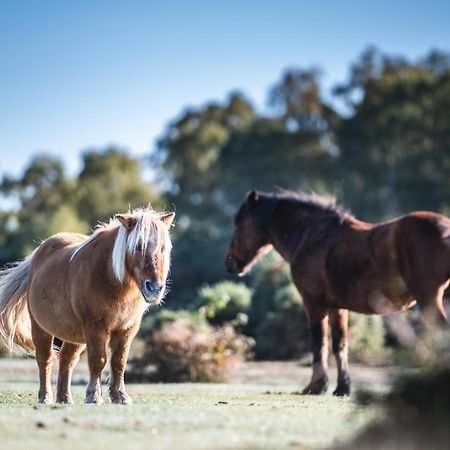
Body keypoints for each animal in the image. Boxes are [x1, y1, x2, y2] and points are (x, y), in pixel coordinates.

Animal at [0, 207, 174, 404]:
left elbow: (119, 361)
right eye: (138, 246)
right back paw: (45, 397)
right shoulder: (95, 326)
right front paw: (94, 396)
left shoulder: (127, 329)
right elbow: (98, 360)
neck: (111, 278)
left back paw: (65, 398)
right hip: (41, 328)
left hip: (75, 334)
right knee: (45, 358)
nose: (155, 288)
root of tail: (39, 252)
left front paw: (120, 396)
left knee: (67, 359)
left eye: (163, 248)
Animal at [227, 192, 448, 396]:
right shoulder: (337, 308)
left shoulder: (314, 303)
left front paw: (316, 386)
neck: (312, 234)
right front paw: (342, 387)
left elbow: (319, 343)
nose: (230, 263)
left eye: (239, 223)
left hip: (429, 299)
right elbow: (340, 344)